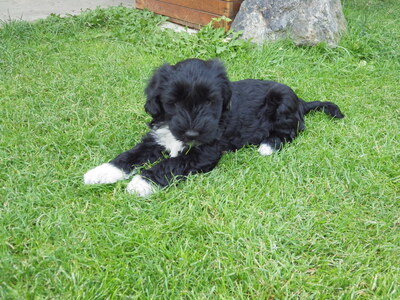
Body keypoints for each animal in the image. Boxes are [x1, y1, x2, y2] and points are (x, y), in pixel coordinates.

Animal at [83, 58, 344, 197]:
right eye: (173, 102)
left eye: (210, 101)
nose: (191, 132)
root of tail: (301, 101)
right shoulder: (156, 139)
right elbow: (130, 155)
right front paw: (101, 172)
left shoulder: (204, 152)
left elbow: (172, 163)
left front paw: (141, 183)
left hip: (282, 102)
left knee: (291, 132)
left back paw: (267, 145)